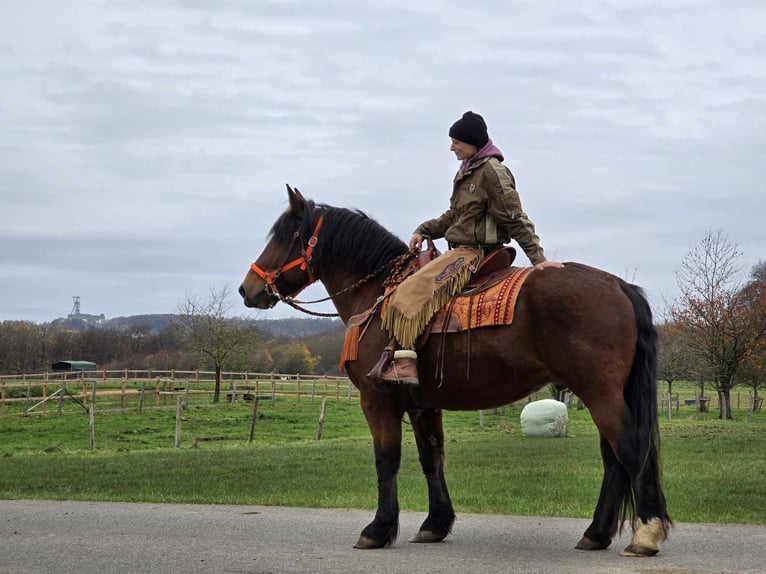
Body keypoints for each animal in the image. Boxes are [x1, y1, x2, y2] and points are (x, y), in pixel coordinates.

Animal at [238, 186, 672, 560]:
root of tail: (619, 285)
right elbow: (432, 457)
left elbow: (386, 460)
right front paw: (435, 523)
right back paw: (596, 534)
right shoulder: (422, 405)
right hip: (601, 394)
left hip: (600, 394)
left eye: (287, 235)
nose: (248, 288)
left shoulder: (377, 400)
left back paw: (646, 534)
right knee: (613, 458)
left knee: (629, 449)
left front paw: (378, 529)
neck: (377, 294)